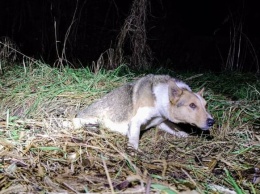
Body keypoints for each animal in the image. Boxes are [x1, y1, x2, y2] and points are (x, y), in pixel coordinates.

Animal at [70, 74, 214, 149]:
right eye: (192, 105)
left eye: (206, 105)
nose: (212, 121)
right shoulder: (136, 120)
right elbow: (134, 138)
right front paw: (133, 150)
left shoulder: (160, 122)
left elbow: (175, 128)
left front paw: (183, 134)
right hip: (87, 119)